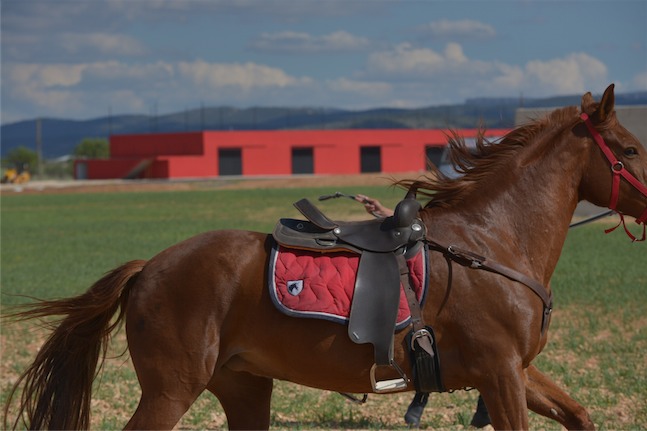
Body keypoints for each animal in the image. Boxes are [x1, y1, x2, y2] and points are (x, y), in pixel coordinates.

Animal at [5, 85, 647, 431]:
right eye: (632, 149)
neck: (490, 241)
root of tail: (149, 268)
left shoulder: (513, 371)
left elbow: (579, 414)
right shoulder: (501, 374)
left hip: (243, 387)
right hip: (172, 389)